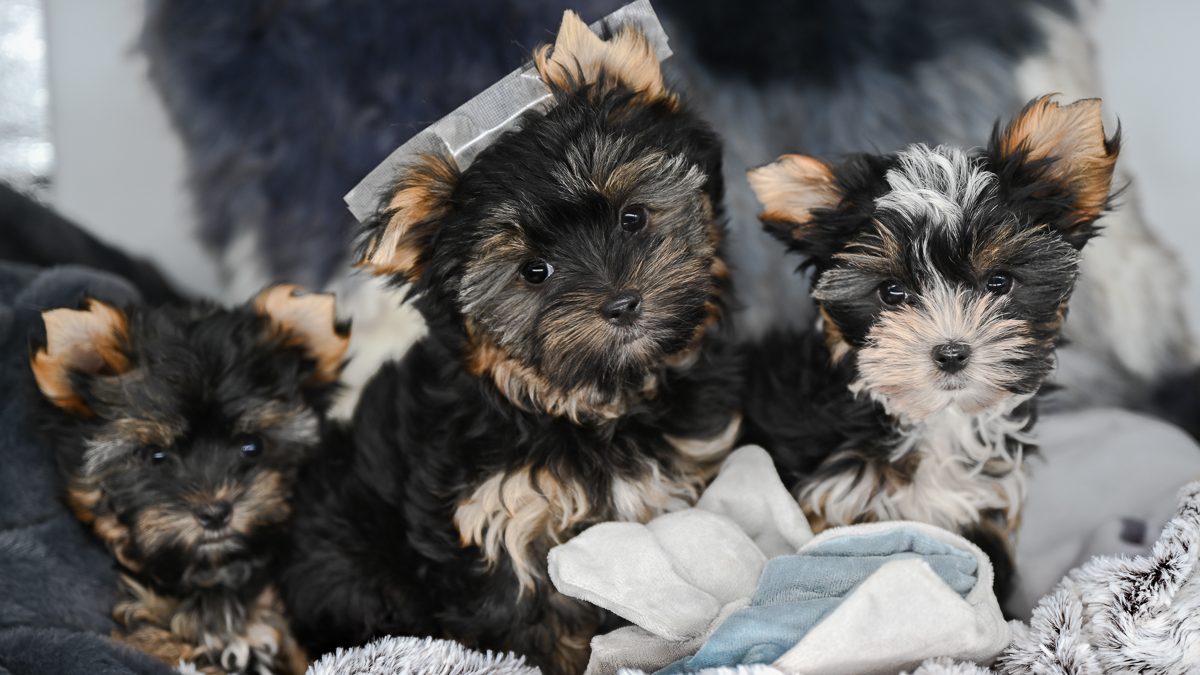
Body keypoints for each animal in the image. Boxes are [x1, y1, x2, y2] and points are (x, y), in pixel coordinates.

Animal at [280, 11, 743, 674]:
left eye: (632, 217)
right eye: (534, 271)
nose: (622, 304)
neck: (590, 407)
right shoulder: (499, 528)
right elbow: (533, 630)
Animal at [741, 96, 1120, 599]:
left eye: (999, 282)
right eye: (892, 292)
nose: (951, 353)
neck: (939, 420)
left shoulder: (984, 506)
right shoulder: (839, 507)